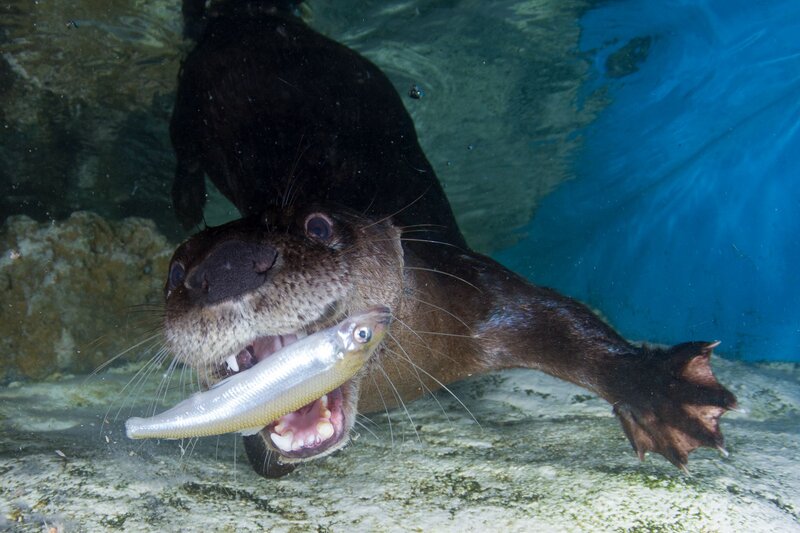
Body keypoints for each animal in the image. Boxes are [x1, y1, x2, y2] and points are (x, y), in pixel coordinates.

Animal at [166, 0, 736, 478]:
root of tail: (245, 17)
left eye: (318, 226)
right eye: (174, 272)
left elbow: (564, 323)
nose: (228, 269)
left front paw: (666, 396)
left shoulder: (469, 291)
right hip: (191, 95)